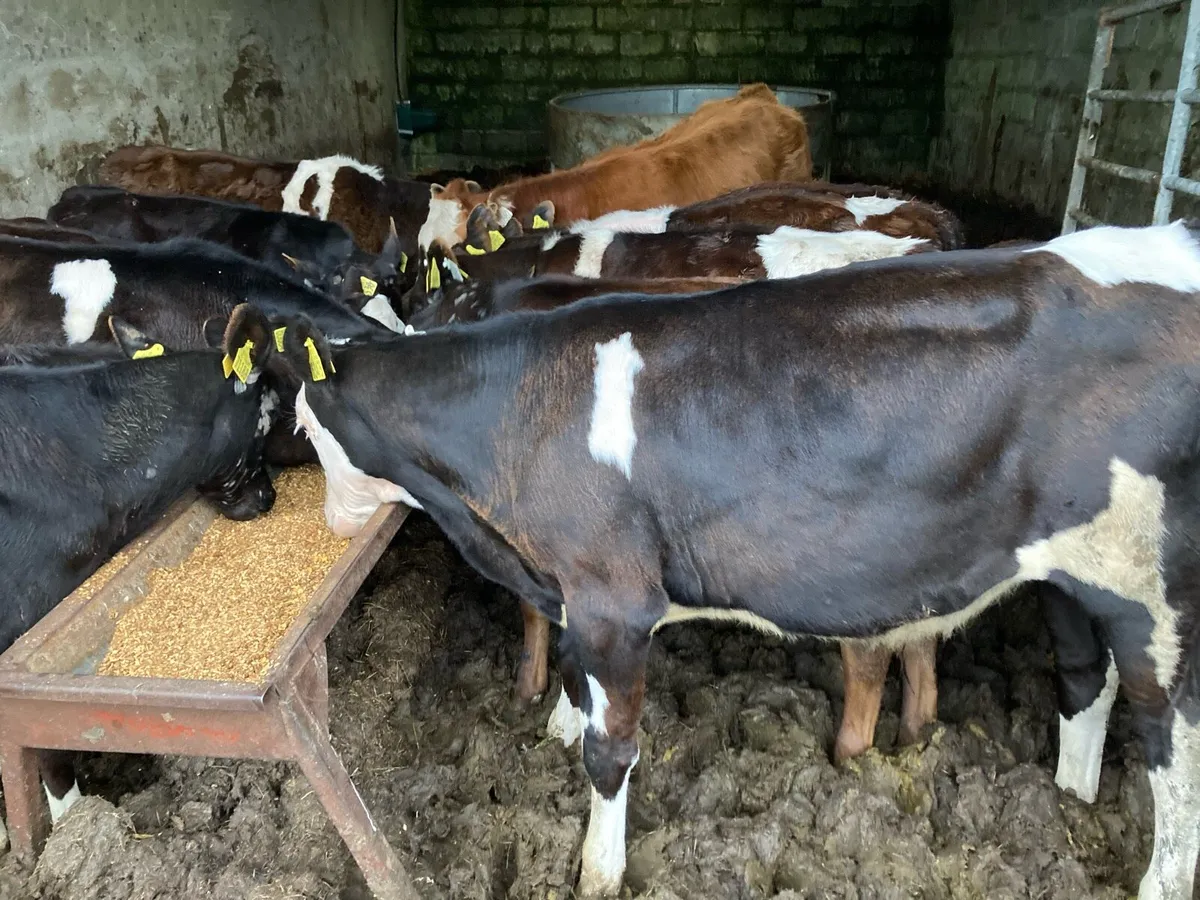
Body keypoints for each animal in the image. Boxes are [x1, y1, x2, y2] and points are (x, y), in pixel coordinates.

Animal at [271, 222, 1200, 900]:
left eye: (301, 421)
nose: (329, 521)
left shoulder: (613, 597)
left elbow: (610, 749)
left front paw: (598, 870)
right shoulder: (569, 587)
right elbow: (575, 690)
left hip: (1165, 599)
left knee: (1173, 758)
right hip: (1080, 573)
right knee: (1084, 680)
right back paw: (1067, 799)